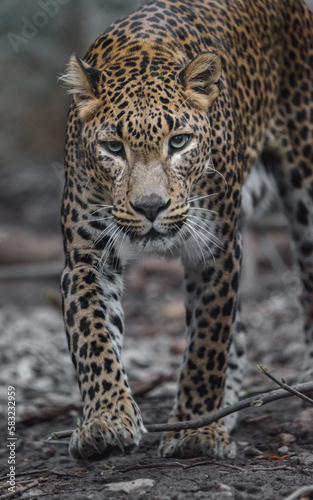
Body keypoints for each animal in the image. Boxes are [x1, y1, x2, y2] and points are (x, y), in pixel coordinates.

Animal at [60, 0, 312, 460]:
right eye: (113, 148)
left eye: (178, 142)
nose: (150, 207)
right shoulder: (86, 255)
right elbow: (92, 336)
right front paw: (106, 419)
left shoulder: (218, 248)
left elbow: (207, 341)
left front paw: (196, 429)